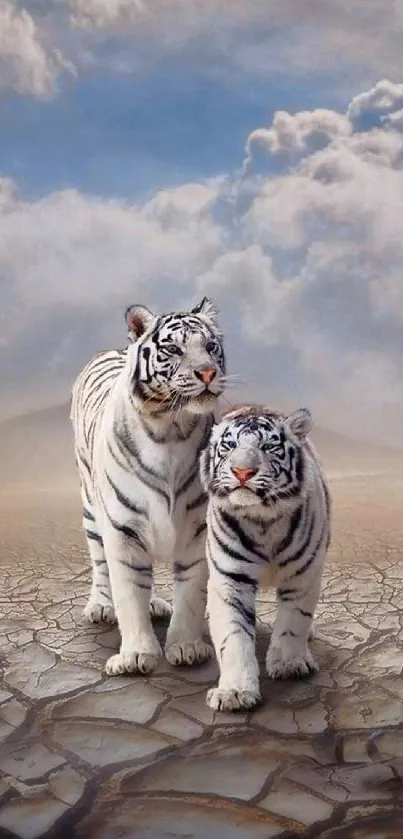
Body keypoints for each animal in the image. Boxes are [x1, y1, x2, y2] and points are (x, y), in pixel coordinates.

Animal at [70, 298, 227, 680]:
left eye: (210, 347)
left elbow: (191, 593)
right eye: (174, 349)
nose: (207, 373)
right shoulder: (122, 530)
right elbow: (128, 594)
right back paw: (100, 606)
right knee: (101, 563)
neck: (171, 428)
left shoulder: (197, 529)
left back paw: (155, 603)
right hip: (91, 509)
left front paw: (186, 647)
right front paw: (136, 655)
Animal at [201, 404, 332, 712]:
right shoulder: (230, 580)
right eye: (230, 445)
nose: (242, 472)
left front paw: (289, 665)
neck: (263, 520)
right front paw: (234, 693)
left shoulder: (303, 576)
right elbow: (233, 636)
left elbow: (294, 621)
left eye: (269, 446)